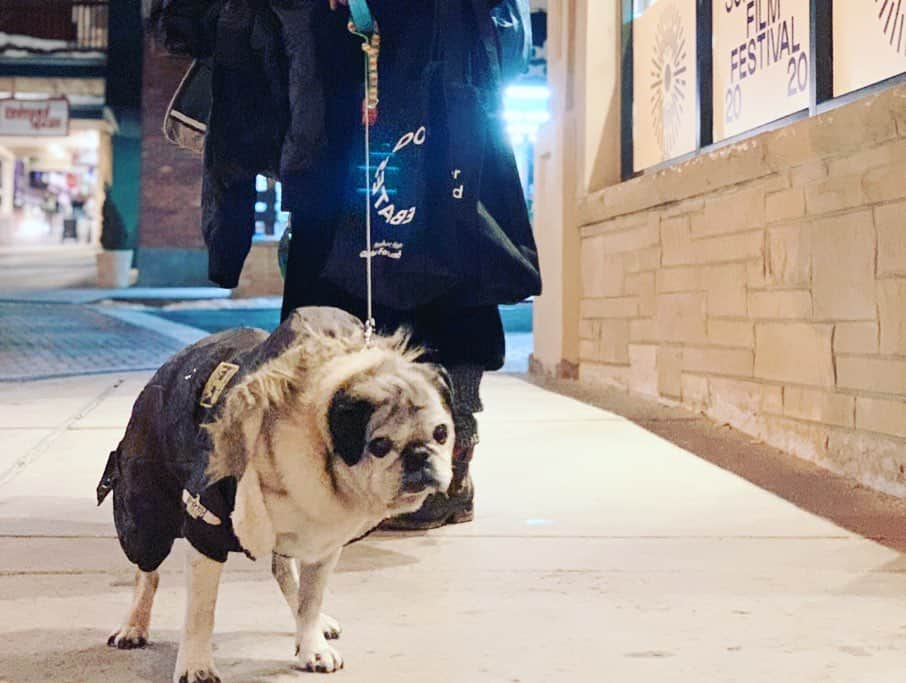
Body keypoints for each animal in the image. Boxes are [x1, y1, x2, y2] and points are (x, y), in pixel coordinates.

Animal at [98, 308, 452, 680]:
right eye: (379, 446)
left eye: (442, 434)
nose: (420, 455)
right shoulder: (206, 530)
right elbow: (201, 612)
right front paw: (196, 666)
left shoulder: (324, 541)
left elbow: (310, 601)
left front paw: (311, 645)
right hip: (145, 517)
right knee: (146, 571)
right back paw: (134, 625)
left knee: (284, 572)